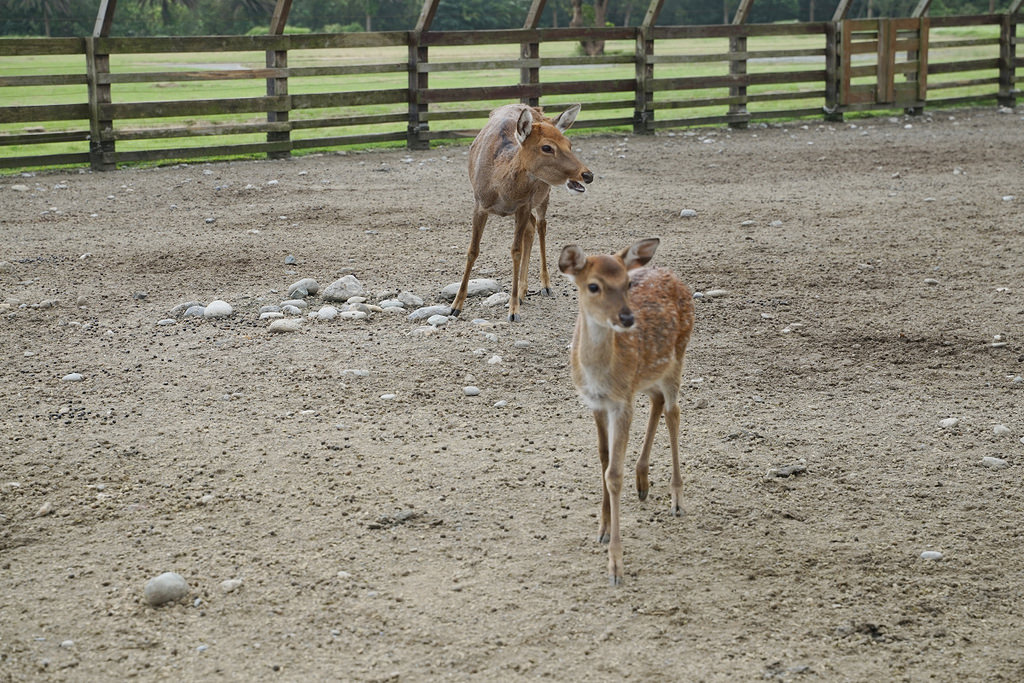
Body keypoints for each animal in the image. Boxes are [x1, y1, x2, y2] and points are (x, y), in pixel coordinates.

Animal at [448, 103, 593, 323]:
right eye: (547, 147)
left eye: (569, 143)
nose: (587, 175)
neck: (501, 188)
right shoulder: (479, 204)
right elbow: (473, 250)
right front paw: (455, 306)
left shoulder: (524, 205)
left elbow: (515, 250)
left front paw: (513, 310)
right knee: (531, 229)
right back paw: (524, 292)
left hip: (544, 195)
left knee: (541, 226)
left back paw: (544, 286)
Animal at [561, 237, 696, 585]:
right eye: (593, 285)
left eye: (627, 283)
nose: (626, 318)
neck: (600, 375)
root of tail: (672, 274)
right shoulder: (596, 403)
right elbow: (604, 459)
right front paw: (603, 529)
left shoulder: (621, 402)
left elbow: (614, 474)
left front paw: (616, 566)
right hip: (647, 375)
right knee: (658, 402)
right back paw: (643, 481)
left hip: (677, 356)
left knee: (674, 412)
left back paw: (677, 499)